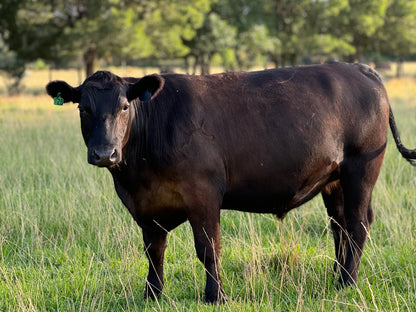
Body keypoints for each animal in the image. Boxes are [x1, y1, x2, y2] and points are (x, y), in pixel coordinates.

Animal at [47, 62, 416, 304]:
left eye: (124, 106)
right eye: (83, 109)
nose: (104, 153)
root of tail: (359, 68)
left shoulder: (203, 193)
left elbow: (208, 247)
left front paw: (216, 296)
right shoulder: (145, 205)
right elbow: (154, 250)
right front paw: (152, 294)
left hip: (361, 169)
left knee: (357, 223)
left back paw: (348, 283)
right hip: (334, 179)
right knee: (338, 225)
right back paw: (337, 278)